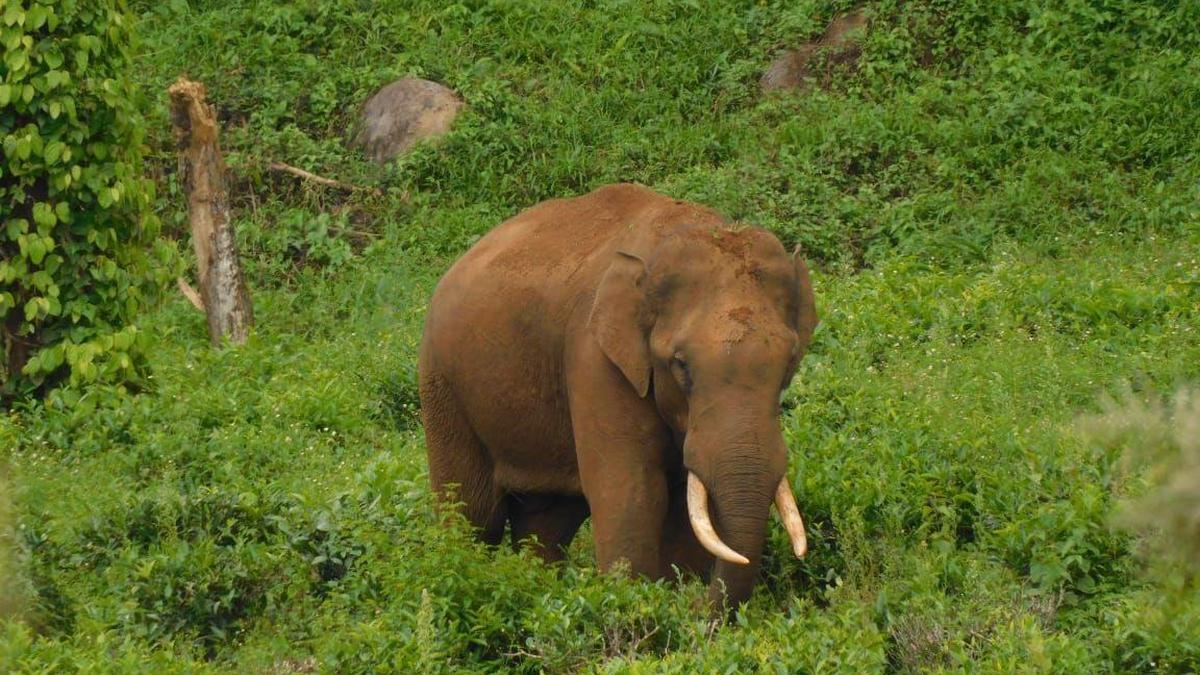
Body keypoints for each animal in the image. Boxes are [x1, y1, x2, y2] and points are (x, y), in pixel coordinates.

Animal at [419, 183, 818, 612]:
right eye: (681, 365)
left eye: (789, 361)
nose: (694, 601)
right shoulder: (593, 358)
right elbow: (632, 492)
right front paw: (637, 602)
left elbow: (685, 504)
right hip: (442, 385)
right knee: (473, 514)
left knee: (547, 522)